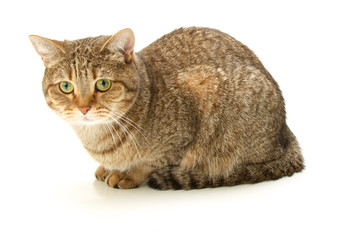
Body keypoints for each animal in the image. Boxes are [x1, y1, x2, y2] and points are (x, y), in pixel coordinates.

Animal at [29, 27, 304, 190]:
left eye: (103, 84)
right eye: (66, 86)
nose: (84, 108)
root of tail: (285, 132)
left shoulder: (184, 130)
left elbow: (153, 161)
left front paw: (129, 173)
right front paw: (110, 168)